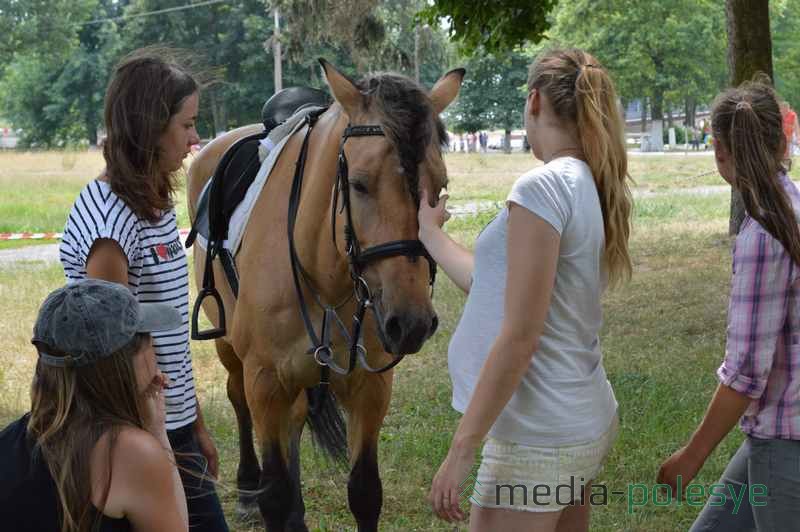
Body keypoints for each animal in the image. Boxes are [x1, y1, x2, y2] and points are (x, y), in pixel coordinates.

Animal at [187, 59, 462, 532]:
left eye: (440, 187)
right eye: (359, 184)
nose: (411, 323)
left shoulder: (370, 386)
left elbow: (365, 492)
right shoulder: (266, 383)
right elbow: (274, 495)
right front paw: (267, 498)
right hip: (229, 345)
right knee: (236, 397)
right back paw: (245, 488)